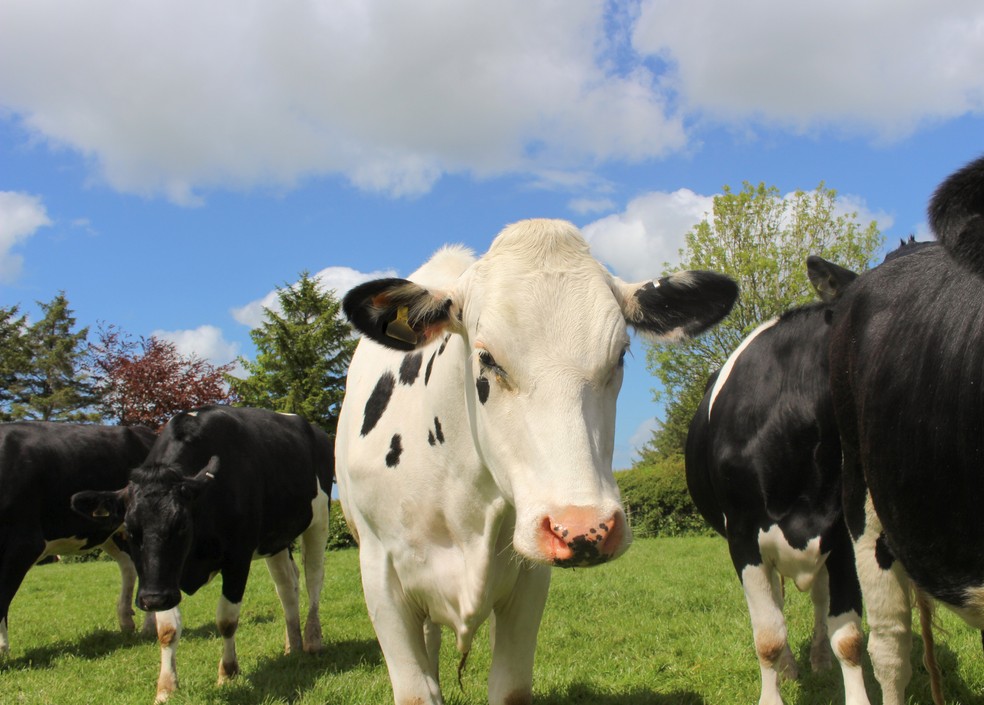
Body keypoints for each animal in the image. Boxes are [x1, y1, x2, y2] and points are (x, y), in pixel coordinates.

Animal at [71, 406, 333, 703]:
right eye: (129, 529)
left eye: (181, 525)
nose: (152, 599)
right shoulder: (165, 577)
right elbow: (167, 629)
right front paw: (165, 688)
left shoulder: (237, 558)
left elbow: (227, 620)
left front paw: (228, 673)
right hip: (275, 538)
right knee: (287, 586)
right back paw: (293, 643)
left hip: (318, 521)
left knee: (313, 579)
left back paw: (312, 640)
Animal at [336, 218, 738, 705]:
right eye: (487, 358)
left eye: (620, 355)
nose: (585, 528)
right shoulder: (381, 575)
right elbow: (417, 691)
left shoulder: (528, 583)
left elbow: (509, 687)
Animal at [685, 257, 870, 705]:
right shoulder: (743, 537)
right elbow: (768, 635)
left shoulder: (841, 534)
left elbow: (849, 638)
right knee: (778, 604)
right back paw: (789, 667)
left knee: (818, 601)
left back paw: (818, 659)